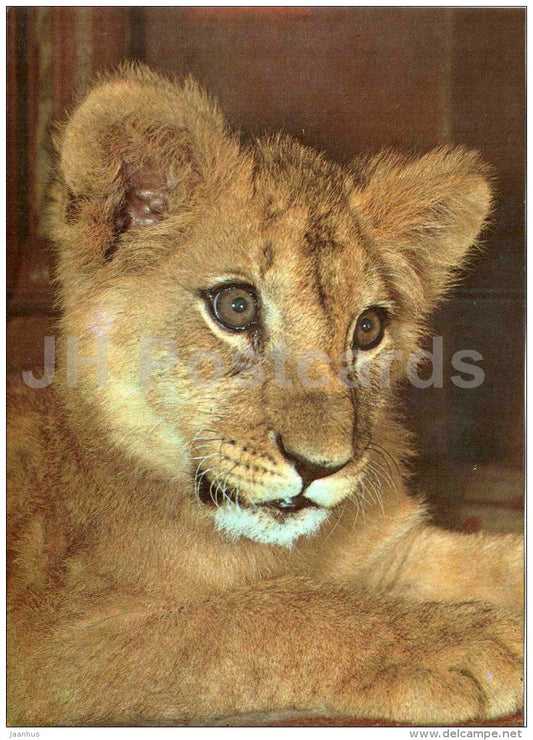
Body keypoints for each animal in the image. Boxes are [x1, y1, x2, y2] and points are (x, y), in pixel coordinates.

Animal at [7, 64, 523, 726]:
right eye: (236, 306)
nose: (319, 466)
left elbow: (494, 559)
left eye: (368, 328)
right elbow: (251, 618)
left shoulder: (386, 552)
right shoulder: (54, 645)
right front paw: (461, 641)